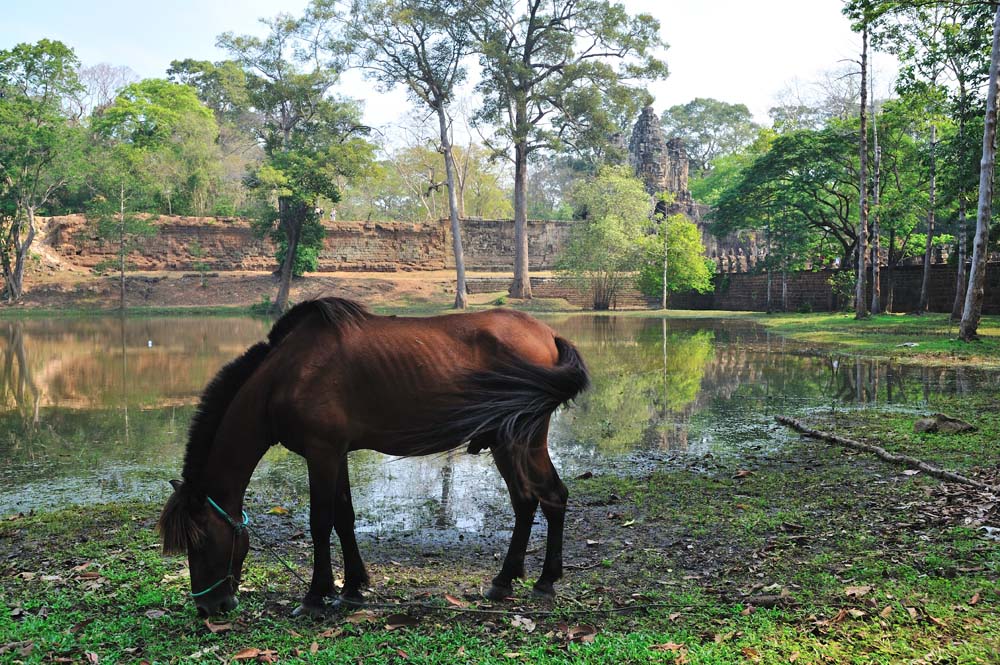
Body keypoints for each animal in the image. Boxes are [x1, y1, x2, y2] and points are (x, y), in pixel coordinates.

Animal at [158, 298, 584, 616]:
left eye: (199, 541)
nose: (209, 606)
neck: (286, 374)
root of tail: (546, 334)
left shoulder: (321, 453)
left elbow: (320, 522)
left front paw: (316, 596)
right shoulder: (337, 453)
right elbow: (344, 518)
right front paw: (352, 587)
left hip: (522, 441)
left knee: (551, 497)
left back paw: (544, 582)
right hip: (504, 442)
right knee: (529, 501)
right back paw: (505, 582)